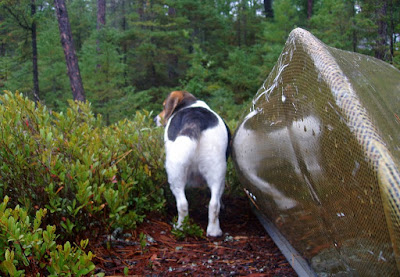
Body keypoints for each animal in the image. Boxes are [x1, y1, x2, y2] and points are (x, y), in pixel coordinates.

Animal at [156, 90, 231, 235]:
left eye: (163, 106)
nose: (155, 119)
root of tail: (196, 119)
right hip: (217, 171)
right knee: (214, 204)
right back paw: (214, 231)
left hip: (175, 174)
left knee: (182, 204)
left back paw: (181, 227)